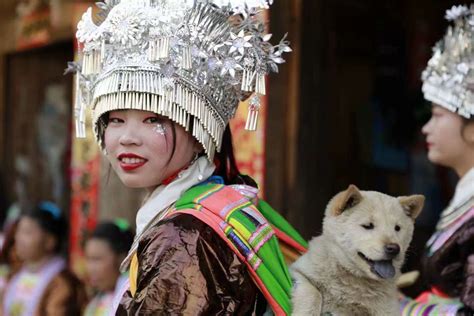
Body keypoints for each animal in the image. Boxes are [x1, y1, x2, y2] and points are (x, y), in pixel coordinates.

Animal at [290, 184, 424, 314]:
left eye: (397, 228)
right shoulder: (299, 270)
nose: (394, 248)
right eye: (368, 226)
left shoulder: (387, 309)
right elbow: (312, 292)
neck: (354, 279)